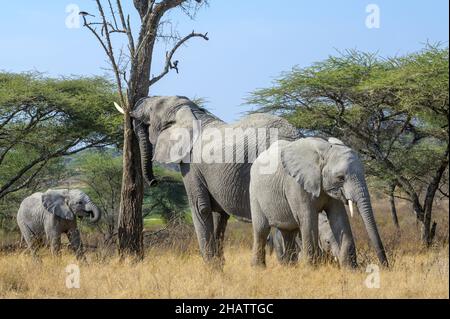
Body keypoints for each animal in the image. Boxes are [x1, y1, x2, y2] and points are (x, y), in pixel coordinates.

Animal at [121, 95, 300, 264]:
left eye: (151, 109)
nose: (154, 182)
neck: (193, 112)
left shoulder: (191, 165)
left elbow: (201, 208)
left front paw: (212, 269)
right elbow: (220, 214)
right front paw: (219, 266)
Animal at [248, 137, 388, 268]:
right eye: (340, 178)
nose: (385, 266)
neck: (324, 152)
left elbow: (339, 217)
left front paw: (351, 269)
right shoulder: (296, 185)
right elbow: (308, 218)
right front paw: (311, 269)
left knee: (288, 232)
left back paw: (290, 267)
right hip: (254, 192)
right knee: (261, 230)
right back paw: (259, 268)